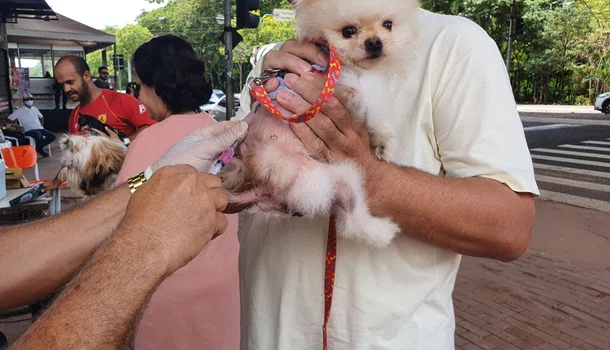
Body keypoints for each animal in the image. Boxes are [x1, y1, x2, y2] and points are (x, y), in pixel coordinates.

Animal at [222, 0, 418, 247]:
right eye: (348, 31)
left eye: (388, 24)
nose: (374, 42)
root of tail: (264, 183)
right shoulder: (352, 85)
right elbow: (376, 107)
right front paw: (386, 141)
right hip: (336, 178)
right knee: (352, 221)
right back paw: (382, 231)